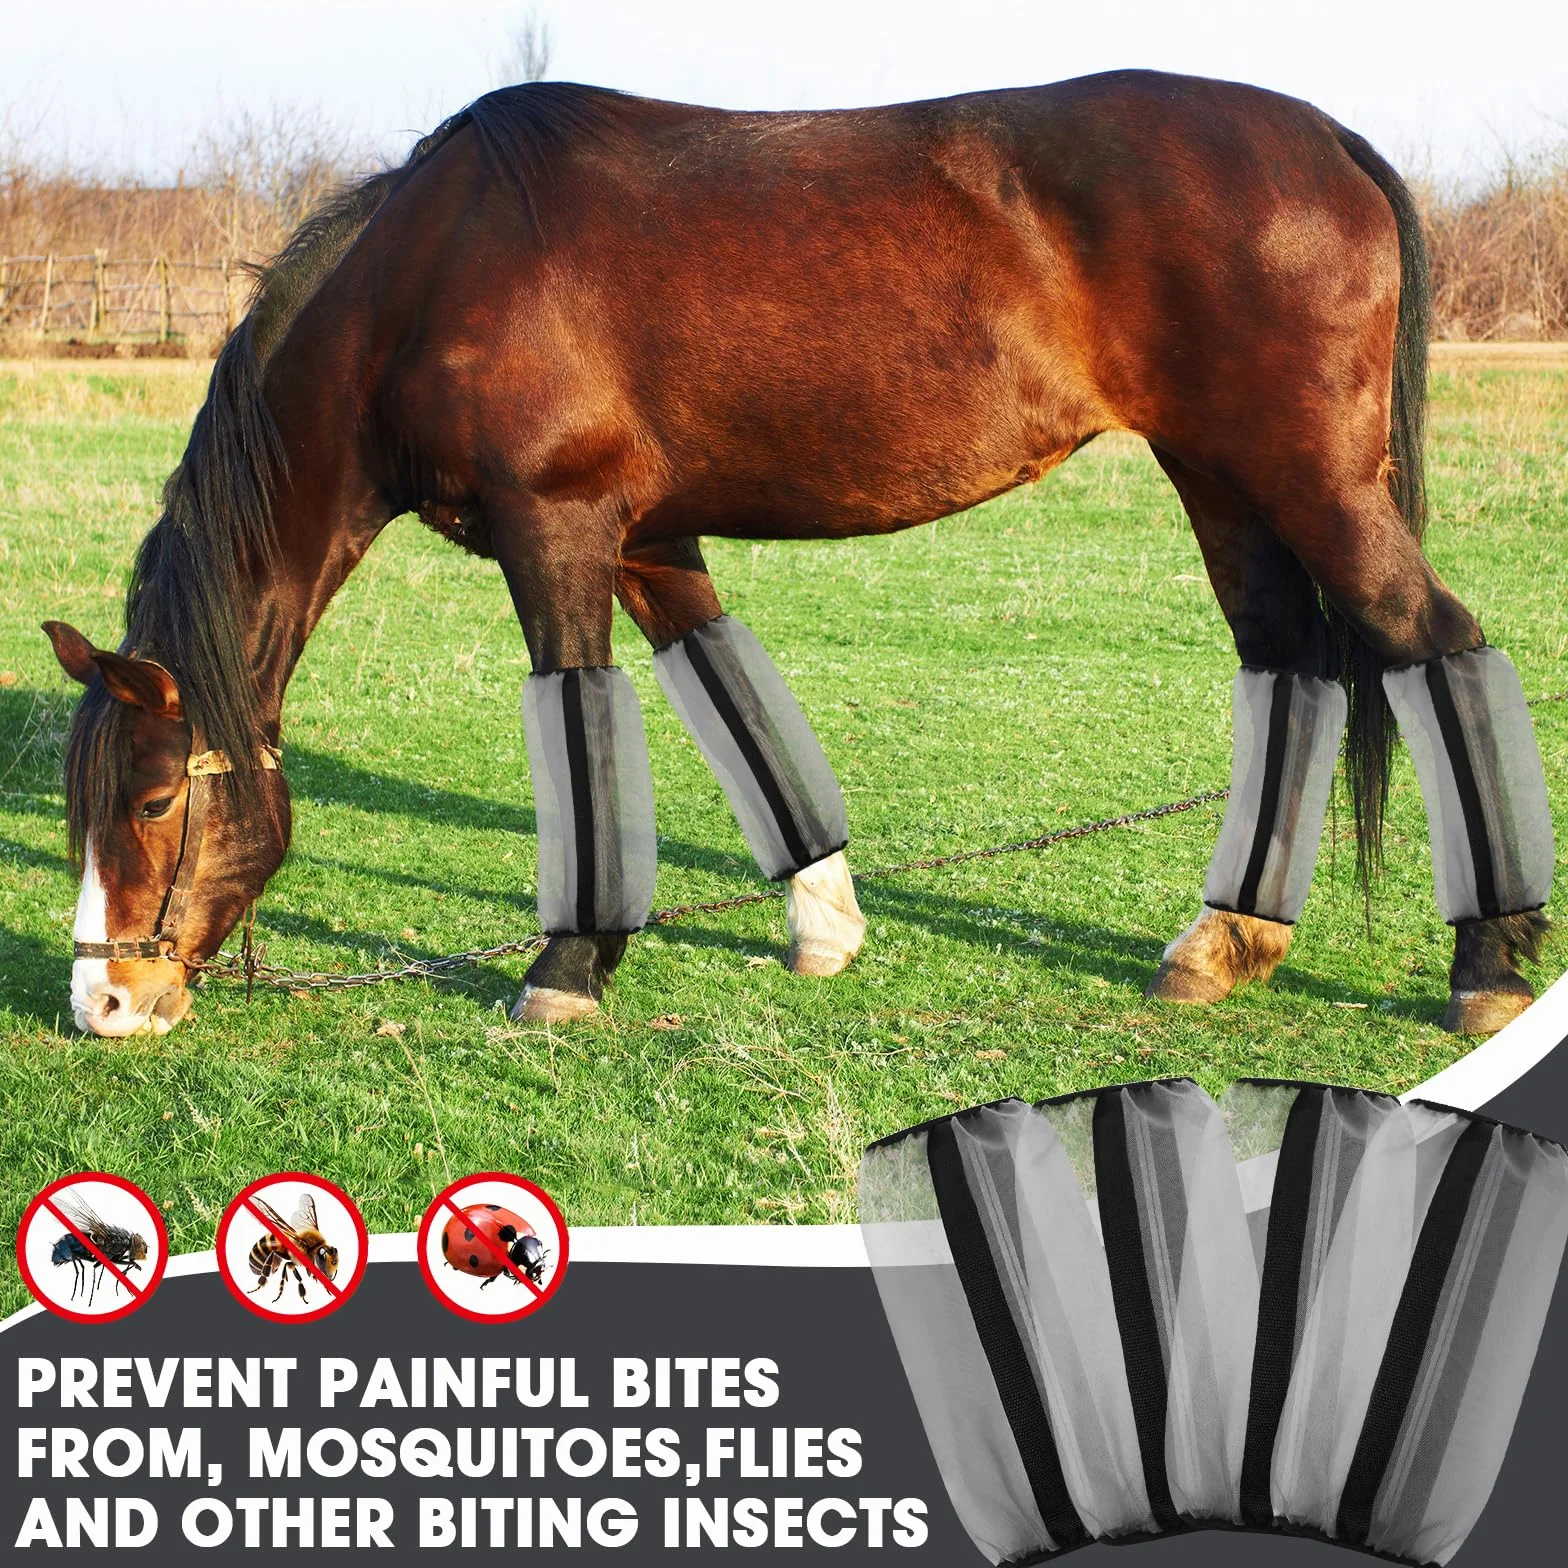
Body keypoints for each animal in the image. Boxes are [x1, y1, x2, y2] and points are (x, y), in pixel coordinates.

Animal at [44, 70, 1553, 1039]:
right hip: (1225, 483)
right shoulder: (650, 541)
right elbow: (735, 708)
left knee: (1438, 647)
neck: (430, 276)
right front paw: (824, 926)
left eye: (159, 801)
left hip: (1312, 485)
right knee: (1288, 666)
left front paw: (565, 967)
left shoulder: (558, 534)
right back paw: (1225, 941)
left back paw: (1487, 961)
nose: (106, 1001)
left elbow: (579, 732)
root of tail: (1328, 141)